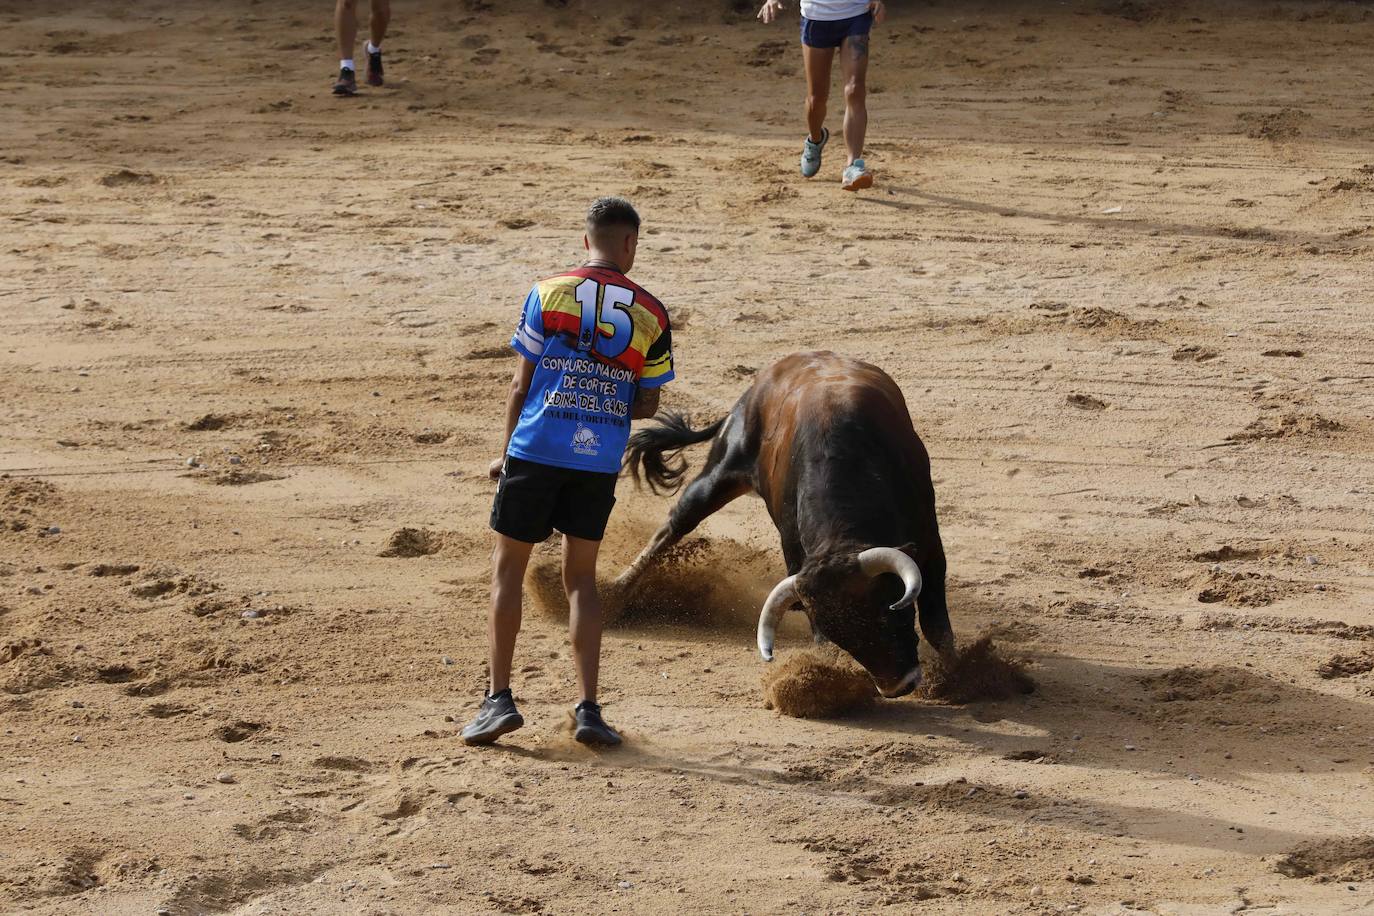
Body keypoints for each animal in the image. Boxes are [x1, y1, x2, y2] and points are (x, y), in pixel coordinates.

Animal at [618, 351, 950, 694]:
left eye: (887, 613)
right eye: (841, 639)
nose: (899, 686)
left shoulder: (930, 545)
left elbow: (936, 624)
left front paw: (956, 678)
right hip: (721, 471)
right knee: (676, 523)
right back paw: (615, 592)